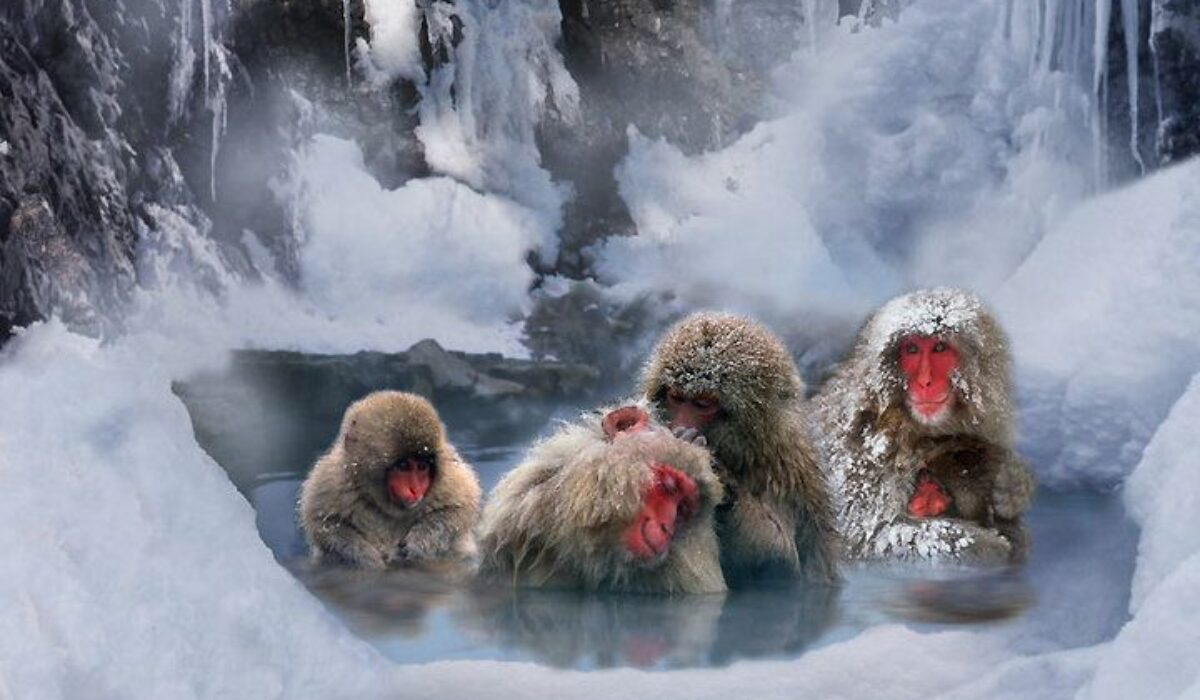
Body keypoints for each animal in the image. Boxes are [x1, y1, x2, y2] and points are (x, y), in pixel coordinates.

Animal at [298, 390, 482, 569]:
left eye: (422, 466)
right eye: (404, 466)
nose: (416, 490)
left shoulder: (449, 476)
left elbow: (458, 509)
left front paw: (419, 541)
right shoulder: (332, 479)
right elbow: (325, 524)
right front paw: (363, 555)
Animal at [640, 312, 840, 586]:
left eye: (702, 404)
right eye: (676, 398)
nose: (677, 425)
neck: (750, 455)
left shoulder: (787, 479)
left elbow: (781, 563)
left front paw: (718, 475)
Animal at [811, 287, 1036, 564]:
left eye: (939, 348)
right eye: (912, 349)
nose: (925, 382)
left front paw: (1013, 486)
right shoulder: (863, 458)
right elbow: (866, 539)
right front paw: (988, 545)